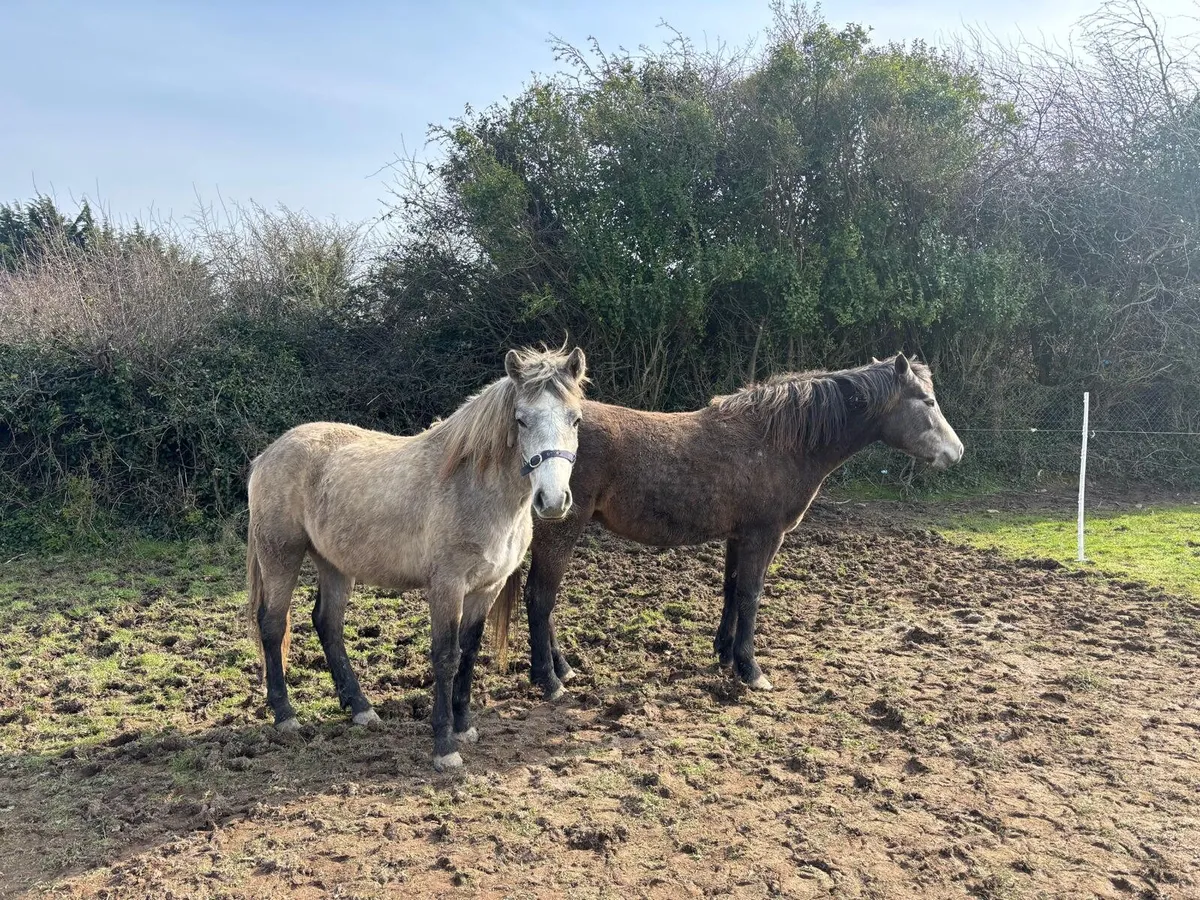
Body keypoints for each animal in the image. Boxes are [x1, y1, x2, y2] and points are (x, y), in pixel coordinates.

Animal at [246, 346, 587, 770]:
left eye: (576, 419)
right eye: (521, 420)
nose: (553, 501)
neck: (474, 488)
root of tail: (267, 455)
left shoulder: (486, 589)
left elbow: (469, 654)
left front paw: (464, 726)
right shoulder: (447, 586)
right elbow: (446, 656)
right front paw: (445, 745)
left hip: (335, 565)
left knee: (328, 624)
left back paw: (360, 708)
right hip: (281, 556)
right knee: (272, 625)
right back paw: (285, 715)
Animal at [489, 353, 963, 700]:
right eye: (927, 401)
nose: (956, 452)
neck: (777, 442)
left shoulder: (740, 536)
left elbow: (733, 591)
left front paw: (724, 654)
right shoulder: (764, 536)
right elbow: (751, 596)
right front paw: (751, 670)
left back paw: (563, 667)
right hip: (560, 526)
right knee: (540, 597)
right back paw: (548, 680)